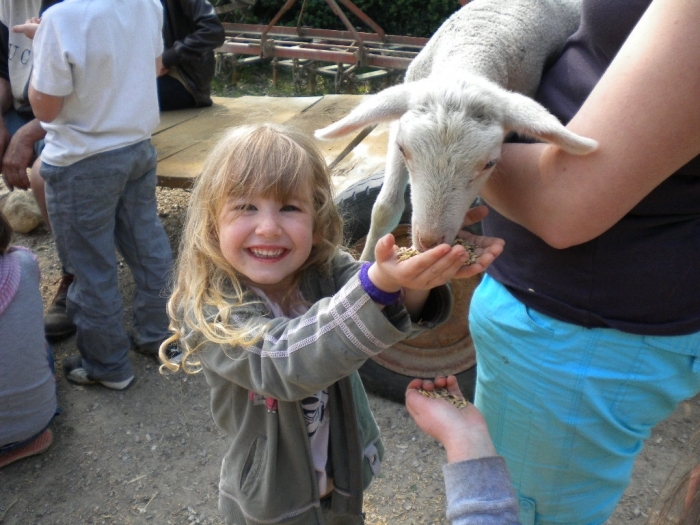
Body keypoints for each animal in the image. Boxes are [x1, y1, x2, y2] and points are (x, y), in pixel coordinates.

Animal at [316, 0, 596, 260]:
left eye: (490, 163)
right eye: (403, 149)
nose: (429, 242)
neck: (477, 39)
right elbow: (384, 208)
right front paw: (365, 263)